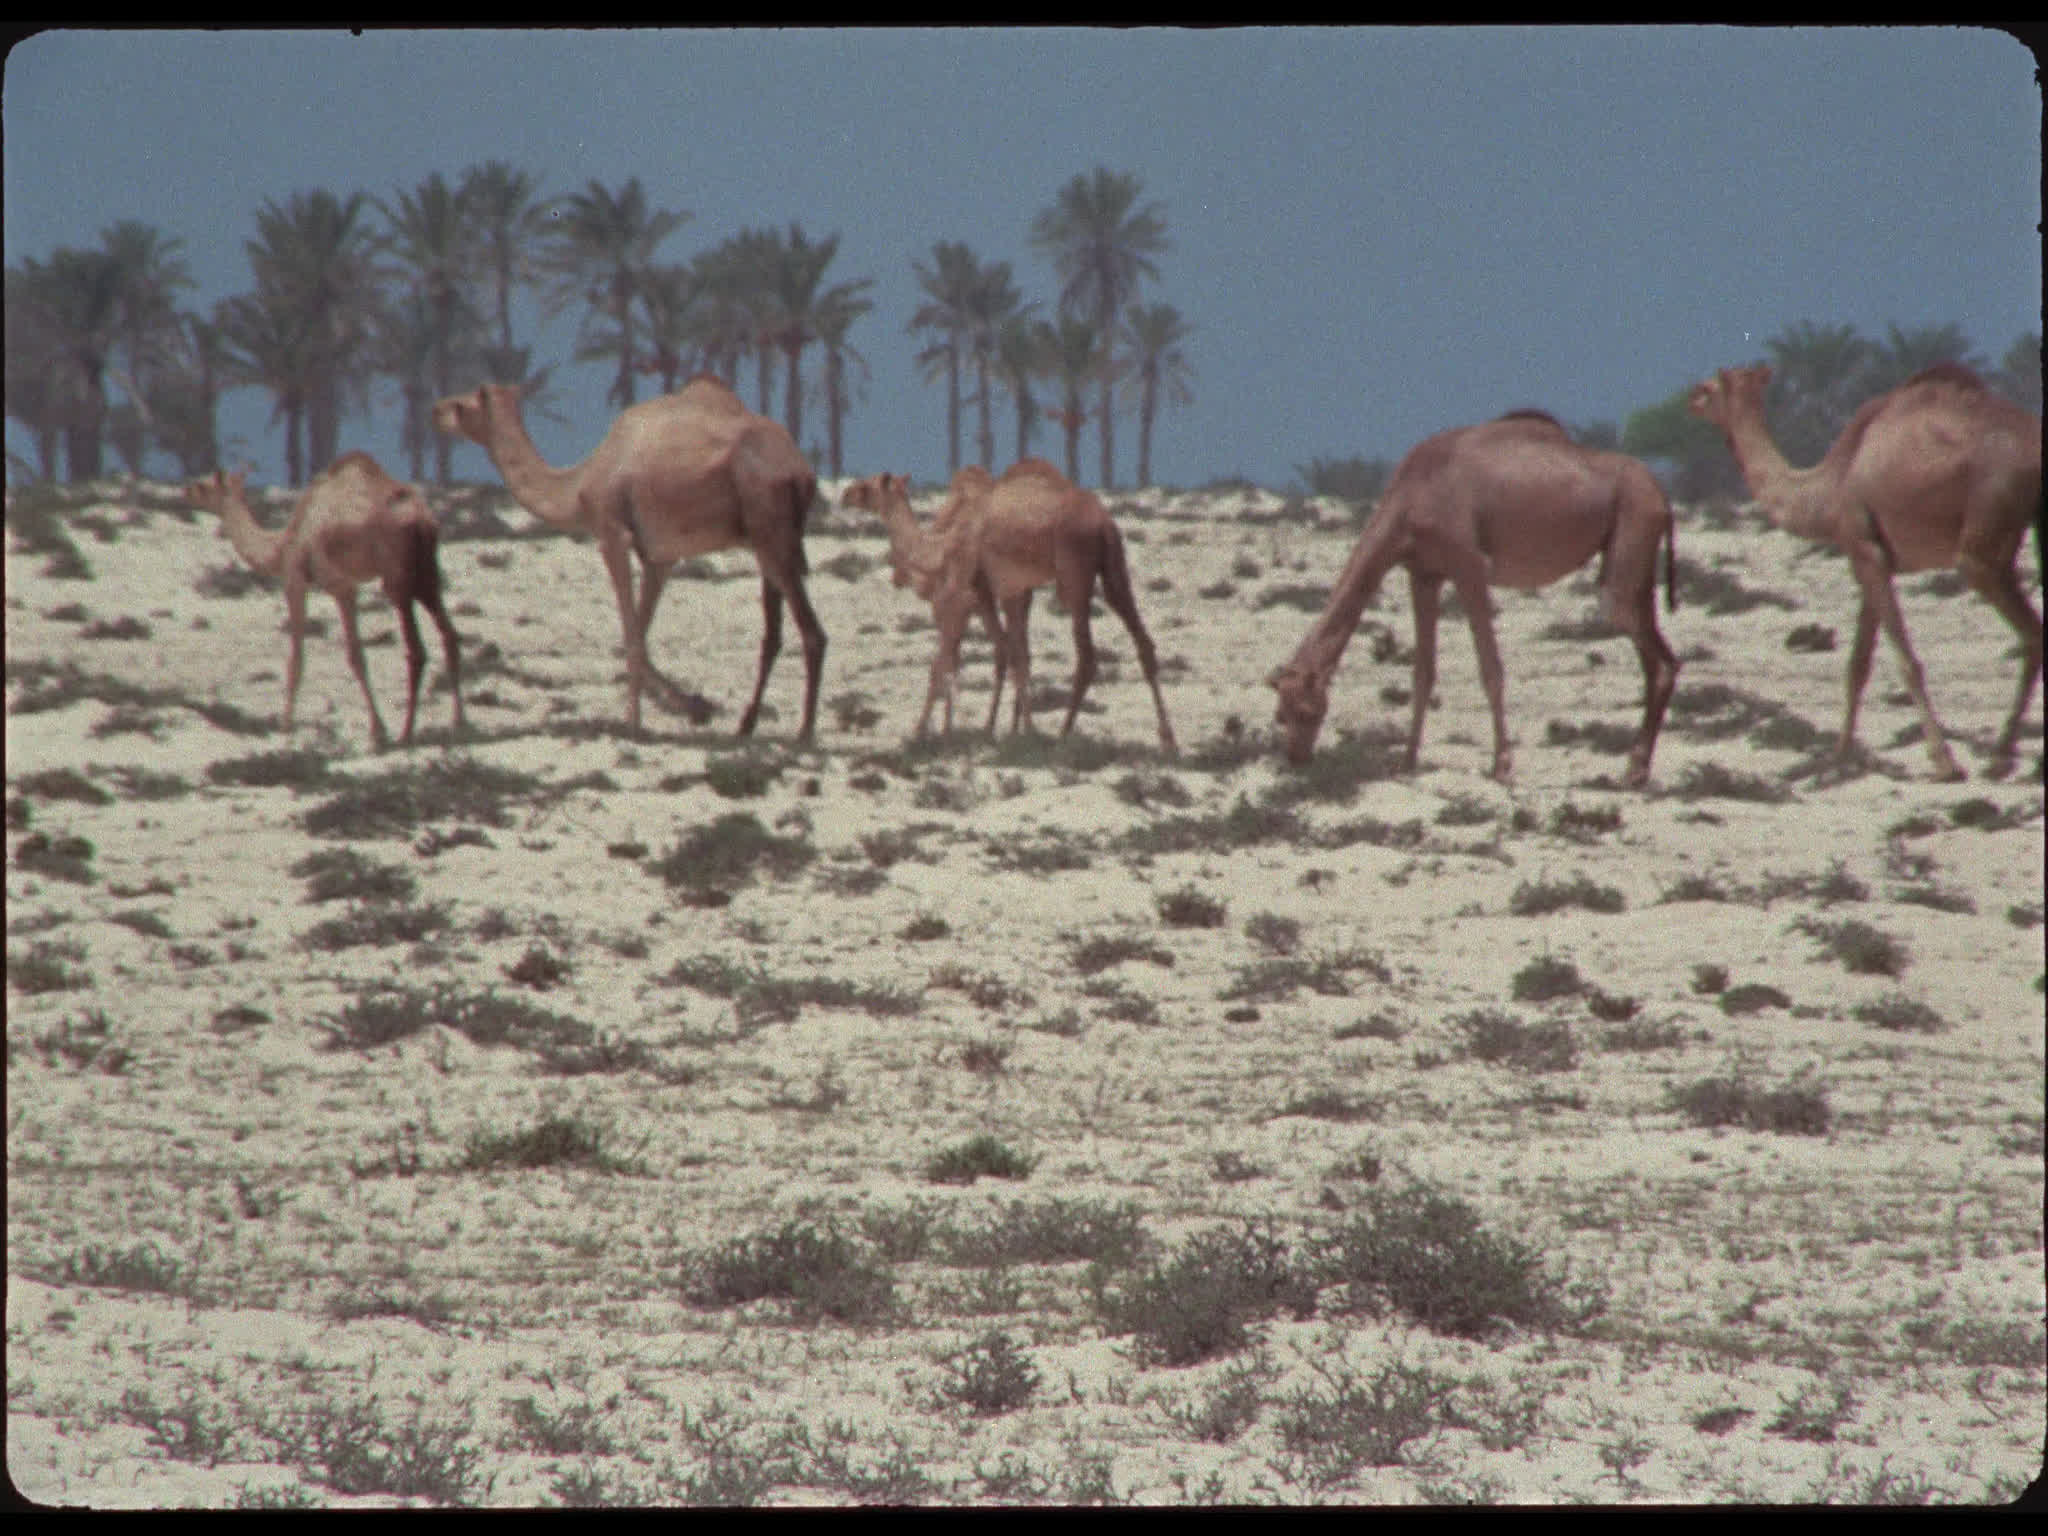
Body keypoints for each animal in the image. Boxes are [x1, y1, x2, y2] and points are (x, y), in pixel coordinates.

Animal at [185, 454, 463, 750]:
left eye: (203, 486)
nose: (185, 491)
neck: (282, 545)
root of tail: (421, 520)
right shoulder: (345, 588)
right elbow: (356, 656)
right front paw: (377, 730)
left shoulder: (296, 580)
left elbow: (297, 659)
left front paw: (286, 726)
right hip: (428, 573)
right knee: (450, 635)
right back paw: (460, 723)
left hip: (397, 577)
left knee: (416, 649)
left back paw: (407, 733)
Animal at [432, 374, 825, 739]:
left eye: (462, 405)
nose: (437, 410)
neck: (577, 485)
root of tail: (801, 471)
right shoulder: (658, 557)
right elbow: (642, 634)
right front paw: (697, 707)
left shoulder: (612, 535)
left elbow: (631, 637)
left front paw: (632, 722)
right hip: (767, 542)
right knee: (773, 634)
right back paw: (747, 724)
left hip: (771, 533)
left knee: (812, 631)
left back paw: (804, 731)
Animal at [851, 458, 1177, 753]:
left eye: (868, 486)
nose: (846, 494)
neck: (941, 546)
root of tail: (1104, 522)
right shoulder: (1003, 591)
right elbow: (1012, 655)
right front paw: (1004, 730)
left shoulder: (962, 593)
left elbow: (945, 664)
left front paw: (925, 733)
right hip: (1114, 569)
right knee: (1143, 642)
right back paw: (1168, 740)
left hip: (1074, 574)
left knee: (1086, 656)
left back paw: (1062, 736)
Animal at [1269, 410, 1680, 786]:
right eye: (1280, 715)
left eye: (1307, 711)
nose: (1296, 758)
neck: (1414, 493)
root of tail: (1662, 496)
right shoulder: (1423, 575)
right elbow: (1422, 672)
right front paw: (1406, 762)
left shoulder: (1469, 566)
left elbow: (1490, 669)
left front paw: (1502, 766)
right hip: (1635, 565)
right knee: (1656, 658)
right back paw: (1636, 768)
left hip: (1629, 544)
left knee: (1657, 656)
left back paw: (1634, 770)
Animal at [1688, 362, 2042, 780]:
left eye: (1708, 388)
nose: (1690, 399)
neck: (1829, 487)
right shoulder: (1873, 560)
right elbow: (1857, 665)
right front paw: (1838, 755)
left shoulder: (1865, 552)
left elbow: (1905, 661)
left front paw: (1944, 762)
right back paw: (2002, 754)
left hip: (1984, 545)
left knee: (2029, 629)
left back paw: (1999, 755)